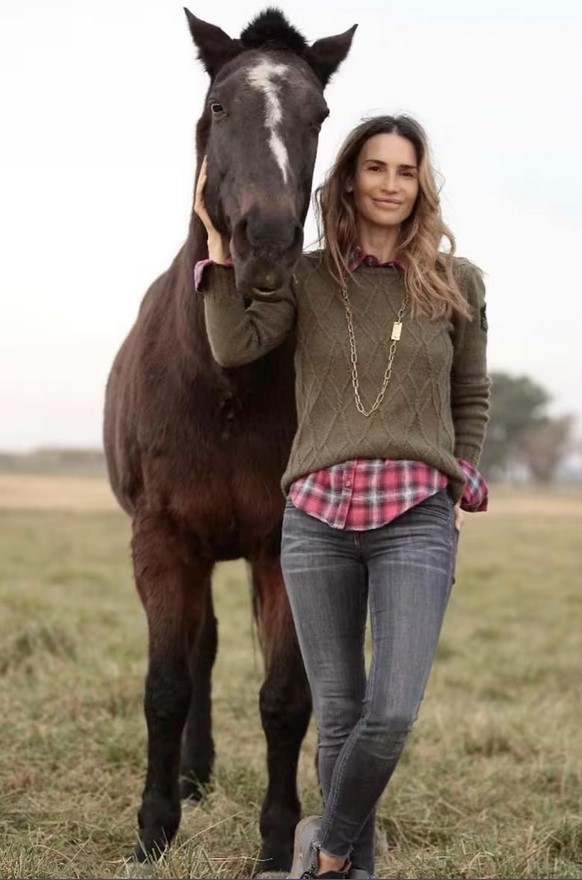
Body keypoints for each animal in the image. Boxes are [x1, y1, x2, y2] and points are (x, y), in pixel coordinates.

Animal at [103, 7, 356, 873]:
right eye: (219, 106)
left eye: (319, 114)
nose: (266, 243)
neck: (221, 384)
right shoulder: (161, 541)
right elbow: (166, 685)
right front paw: (152, 827)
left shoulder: (281, 545)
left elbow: (285, 699)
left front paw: (277, 840)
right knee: (200, 653)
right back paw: (191, 776)